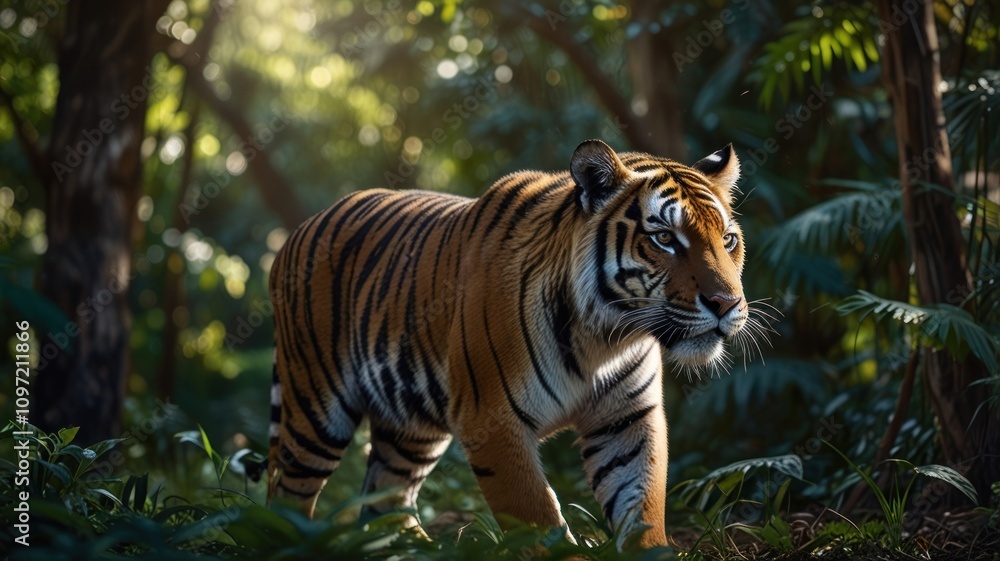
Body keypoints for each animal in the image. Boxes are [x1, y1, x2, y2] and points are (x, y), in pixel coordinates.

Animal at [263, 139, 748, 550]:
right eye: (664, 238)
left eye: (727, 239)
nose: (726, 304)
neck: (605, 339)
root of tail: (297, 231)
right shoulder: (493, 422)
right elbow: (540, 524)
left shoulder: (627, 420)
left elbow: (643, 511)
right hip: (314, 410)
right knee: (284, 494)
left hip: (411, 427)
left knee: (384, 499)